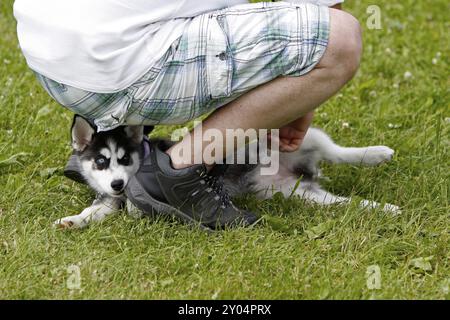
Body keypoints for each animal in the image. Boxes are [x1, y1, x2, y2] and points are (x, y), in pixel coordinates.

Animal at [54, 116, 400, 229]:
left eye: (125, 158)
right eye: (101, 161)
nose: (117, 183)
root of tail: (305, 171)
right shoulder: (109, 198)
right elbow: (95, 210)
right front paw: (72, 220)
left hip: (306, 137)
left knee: (339, 151)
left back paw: (377, 154)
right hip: (302, 194)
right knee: (346, 202)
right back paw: (385, 208)